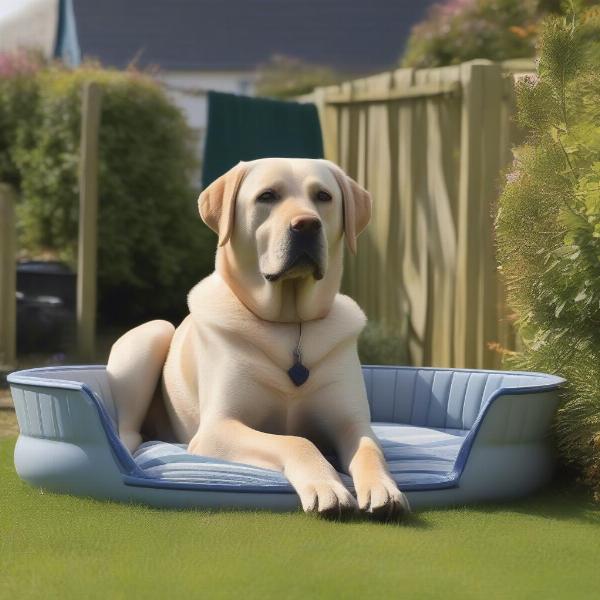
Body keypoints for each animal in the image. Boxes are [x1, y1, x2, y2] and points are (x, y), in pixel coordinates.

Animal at [106, 159, 408, 520]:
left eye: (323, 196)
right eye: (267, 196)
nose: (307, 224)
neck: (289, 326)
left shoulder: (352, 422)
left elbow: (370, 450)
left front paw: (383, 488)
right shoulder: (218, 427)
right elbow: (297, 441)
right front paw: (327, 487)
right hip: (150, 335)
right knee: (127, 430)